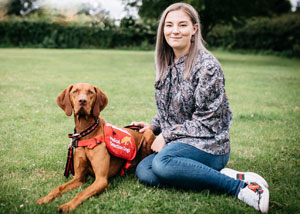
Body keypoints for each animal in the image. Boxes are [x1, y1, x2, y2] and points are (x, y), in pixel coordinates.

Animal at [36, 83, 156, 211]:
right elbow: (59, 188)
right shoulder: (79, 177)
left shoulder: (101, 180)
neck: (86, 134)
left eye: (90, 92)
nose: (82, 101)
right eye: (75, 91)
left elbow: (81, 193)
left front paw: (68, 205)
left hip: (148, 134)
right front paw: (45, 198)